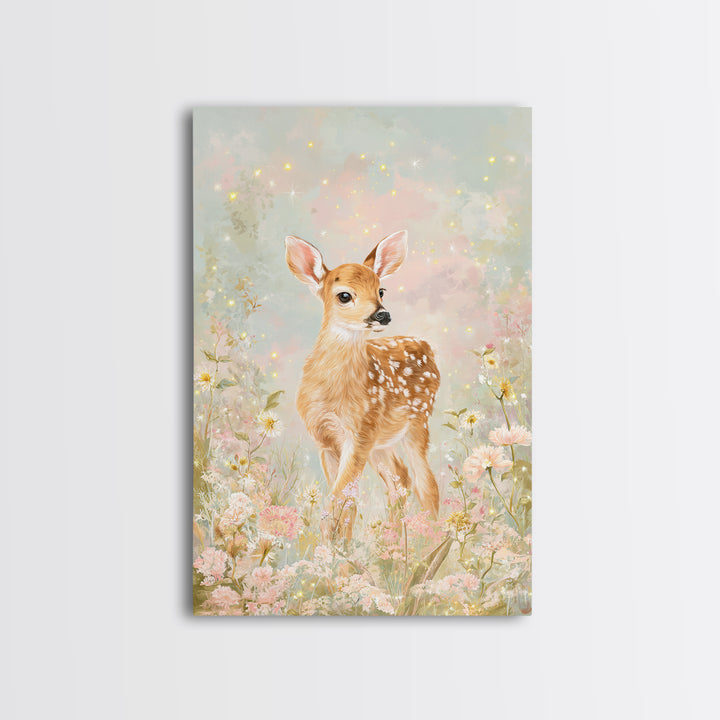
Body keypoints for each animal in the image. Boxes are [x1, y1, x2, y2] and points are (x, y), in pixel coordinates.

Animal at [285, 230, 440, 544]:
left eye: (381, 291)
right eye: (344, 295)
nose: (382, 315)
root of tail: (428, 347)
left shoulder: (358, 434)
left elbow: (341, 500)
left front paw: (337, 550)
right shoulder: (326, 438)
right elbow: (344, 500)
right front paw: (334, 549)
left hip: (417, 420)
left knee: (426, 483)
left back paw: (434, 542)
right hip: (381, 438)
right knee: (399, 478)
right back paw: (393, 543)